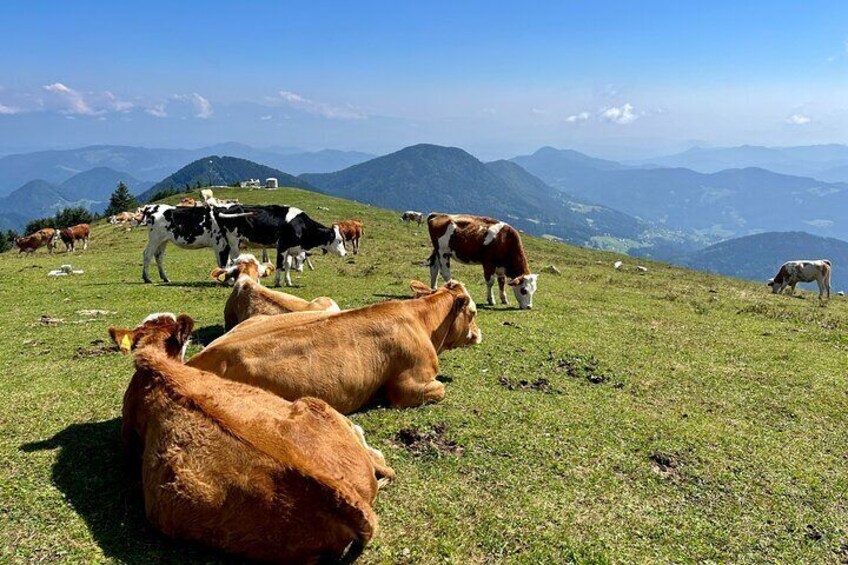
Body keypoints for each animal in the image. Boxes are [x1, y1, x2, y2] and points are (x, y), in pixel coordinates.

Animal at [214, 204, 346, 286]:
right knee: (232, 260)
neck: (300, 226)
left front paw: (288, 282)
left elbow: (287, 265)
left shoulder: (290, 249)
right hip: (234, 241)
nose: (345, 253)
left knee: (226, 260)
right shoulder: (282, 246)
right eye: (339, 240)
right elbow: (279, 264)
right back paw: (232, 281)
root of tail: (226, 209)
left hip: (228, 243)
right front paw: (277, 282)